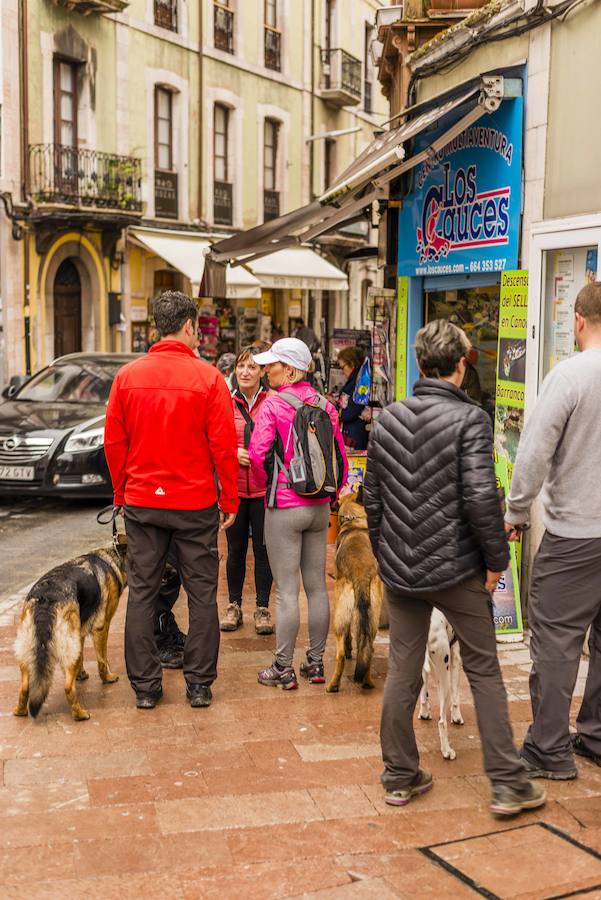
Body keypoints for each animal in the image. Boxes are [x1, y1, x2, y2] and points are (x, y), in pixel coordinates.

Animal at [13, 536, 127, 724]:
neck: (114, 558)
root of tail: (45, 597)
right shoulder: (102, 628)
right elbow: (102, 660)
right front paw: (108, 678)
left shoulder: (79, 632)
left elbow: (81, 657)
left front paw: (81, 674)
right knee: (68, 687)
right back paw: (80, 714)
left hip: (27, 650)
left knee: (24, 687)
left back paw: (20, 711)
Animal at [326, 488, 382, 692]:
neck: (354, 524)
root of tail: (361, 576)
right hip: (373, 619)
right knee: (368, 649)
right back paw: (367, 682)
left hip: (338, 615)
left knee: (341, 653)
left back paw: (333, 685)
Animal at [418, 612, 464, 760]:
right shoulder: (456, 656)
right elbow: (456, 696)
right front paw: (456, 716)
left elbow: (424, 693)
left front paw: (424, 713)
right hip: (444, 677)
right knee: (442, 721)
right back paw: (446, 750)